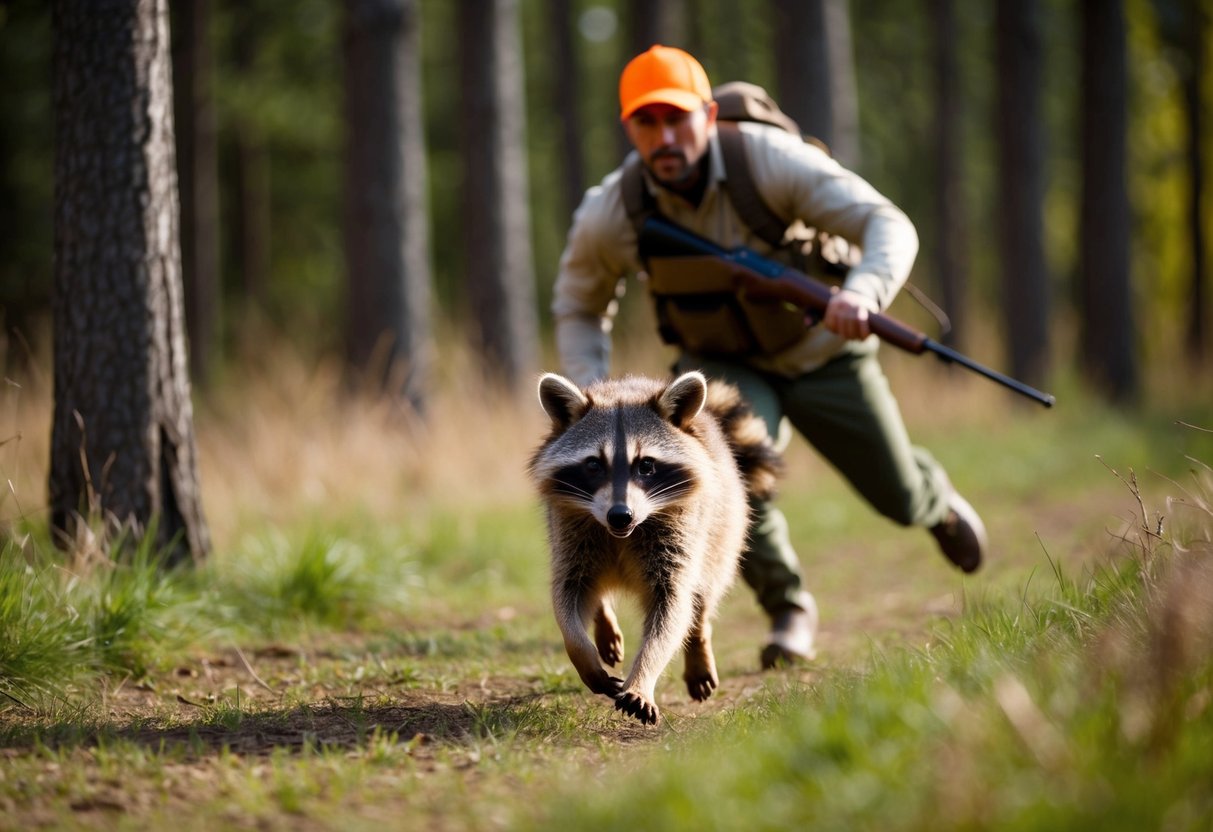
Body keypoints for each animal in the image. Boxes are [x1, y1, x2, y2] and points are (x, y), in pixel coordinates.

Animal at [529, 371, 783, 725]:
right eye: (594, 465)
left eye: (646, 465)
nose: (620, 515)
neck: (622, 533)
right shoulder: (571, 532)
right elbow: (567, 598)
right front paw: (583, 655)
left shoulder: (680, 536)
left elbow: (672, 609)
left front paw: (643, 677)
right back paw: (603, 619)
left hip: (724, 530)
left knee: (703, 593)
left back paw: (698, 641)